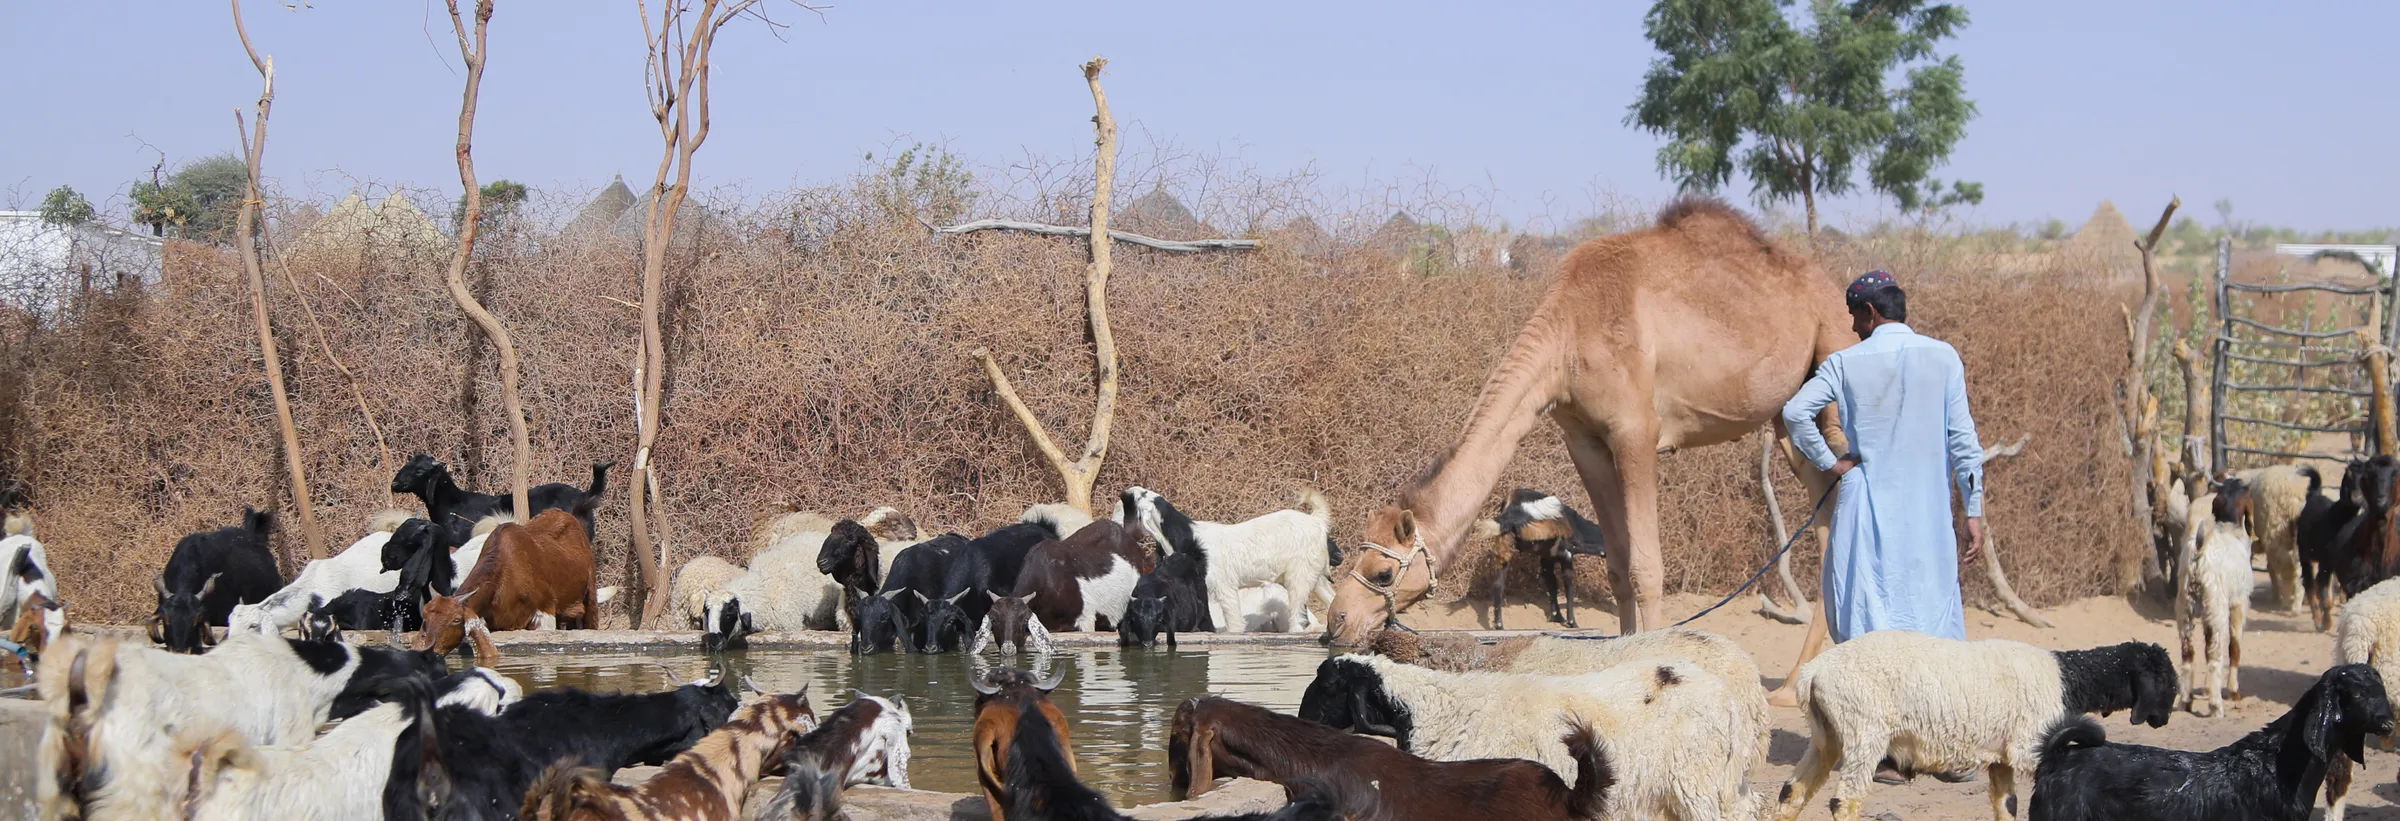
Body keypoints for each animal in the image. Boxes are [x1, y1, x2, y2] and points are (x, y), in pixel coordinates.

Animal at [1120, 487, 1333, 633]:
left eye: (1137, 498)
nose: (1125, 492)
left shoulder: (1223, 585)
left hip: (1300, 572)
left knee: (1297, 607)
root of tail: (1317, 521)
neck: (1188, 536)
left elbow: (1233, 621)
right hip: (1315, 573)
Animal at [1485, 488, 1607, 630]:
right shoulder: (1566, 554)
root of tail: (1512, 502)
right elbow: (1568, 587)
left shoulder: (1546, 558)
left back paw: (1499, 625)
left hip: (1505, 542)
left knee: (1499, 584)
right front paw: (1572, 623)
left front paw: (1556, 617)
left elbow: (1552, 583)